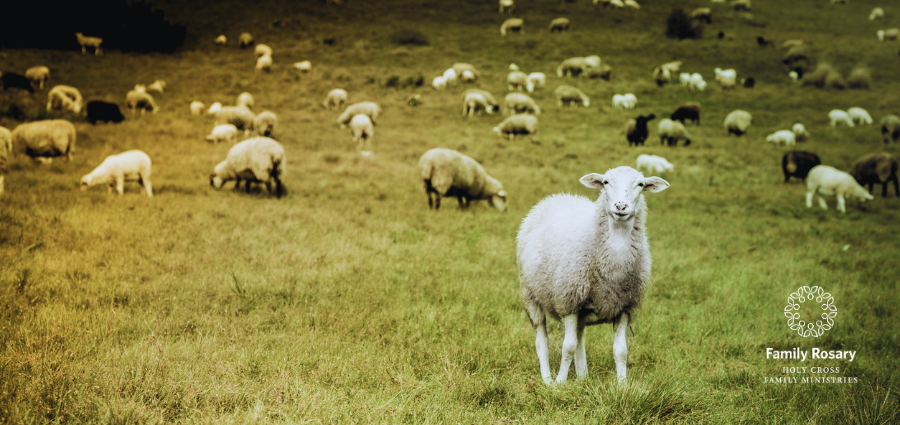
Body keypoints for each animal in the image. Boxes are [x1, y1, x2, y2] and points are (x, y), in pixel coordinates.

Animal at [518, 167, 668, 384]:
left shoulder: (624, 307)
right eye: (605, 182)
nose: (621, 206)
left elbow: (621, 351)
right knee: (542, 339)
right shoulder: (569, 301)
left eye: (640, 184)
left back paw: (583, 377)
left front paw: (622, 385)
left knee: (580, 339)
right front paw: (560, 383)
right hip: (530, 295)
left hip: (582, 311)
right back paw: (547, 379)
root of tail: (558, 197)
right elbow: (567, 347)